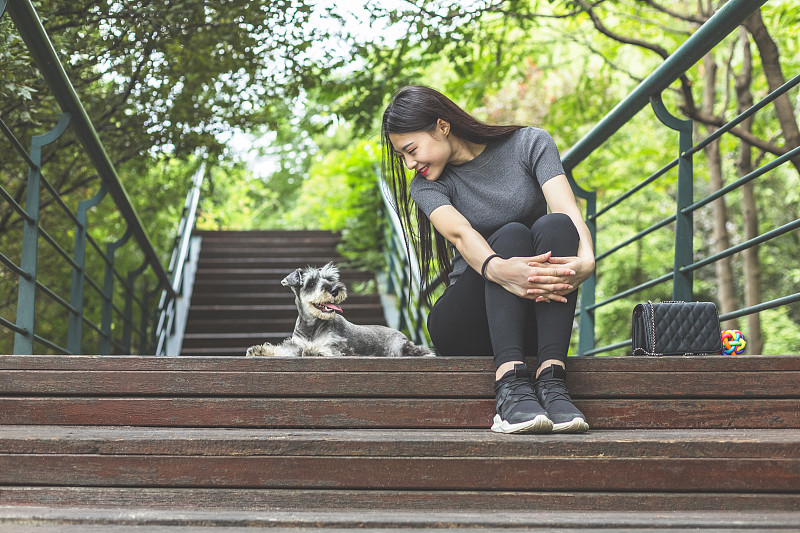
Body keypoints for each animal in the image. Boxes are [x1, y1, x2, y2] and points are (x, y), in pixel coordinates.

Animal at [247, 262, 434, 358]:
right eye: (311, 283)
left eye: (330, 279)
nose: (335, 290)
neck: (312, 326)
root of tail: (401, 333)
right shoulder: (295, 344)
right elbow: (285, 349)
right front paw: (261, 350)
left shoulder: (342, 347)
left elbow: (329, 350)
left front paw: (314, 350)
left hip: (403, 347)